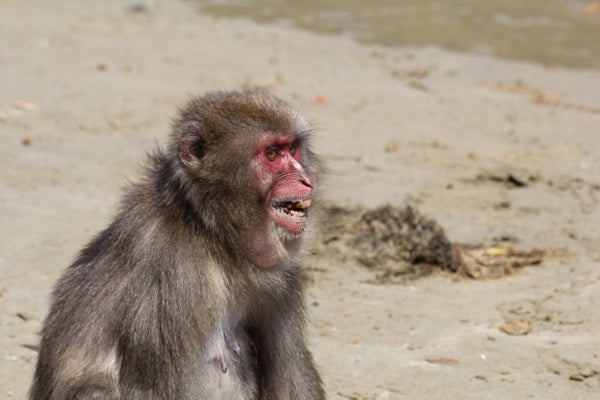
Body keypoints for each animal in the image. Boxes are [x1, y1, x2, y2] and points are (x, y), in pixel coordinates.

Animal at [29, 90, 324, 400]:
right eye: (272, 154)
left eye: (292, 148)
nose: (306, 179)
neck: (211, 233)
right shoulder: (178, 273)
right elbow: (150, 386)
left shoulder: (282, 276)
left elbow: (289, 375)